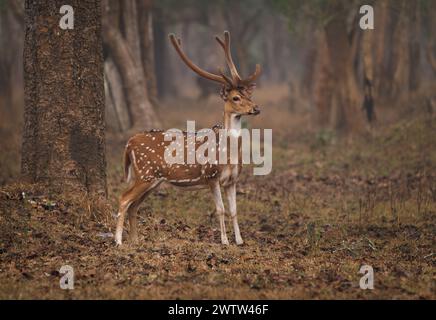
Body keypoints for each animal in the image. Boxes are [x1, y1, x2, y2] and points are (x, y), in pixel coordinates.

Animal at [114, 31, 260, 245]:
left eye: (249, 95)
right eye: (235, 98)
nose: (256, 108)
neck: (228, 155)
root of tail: (128, 144)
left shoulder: (232, 180)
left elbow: (234, 210)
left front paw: (240, 241)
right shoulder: (211, 176)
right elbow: (220, 210)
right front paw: (224, 241)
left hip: (153, 180)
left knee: (134, 205)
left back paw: (135, 240)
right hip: (145, 174)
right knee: (124, 198)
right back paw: (118, 240)